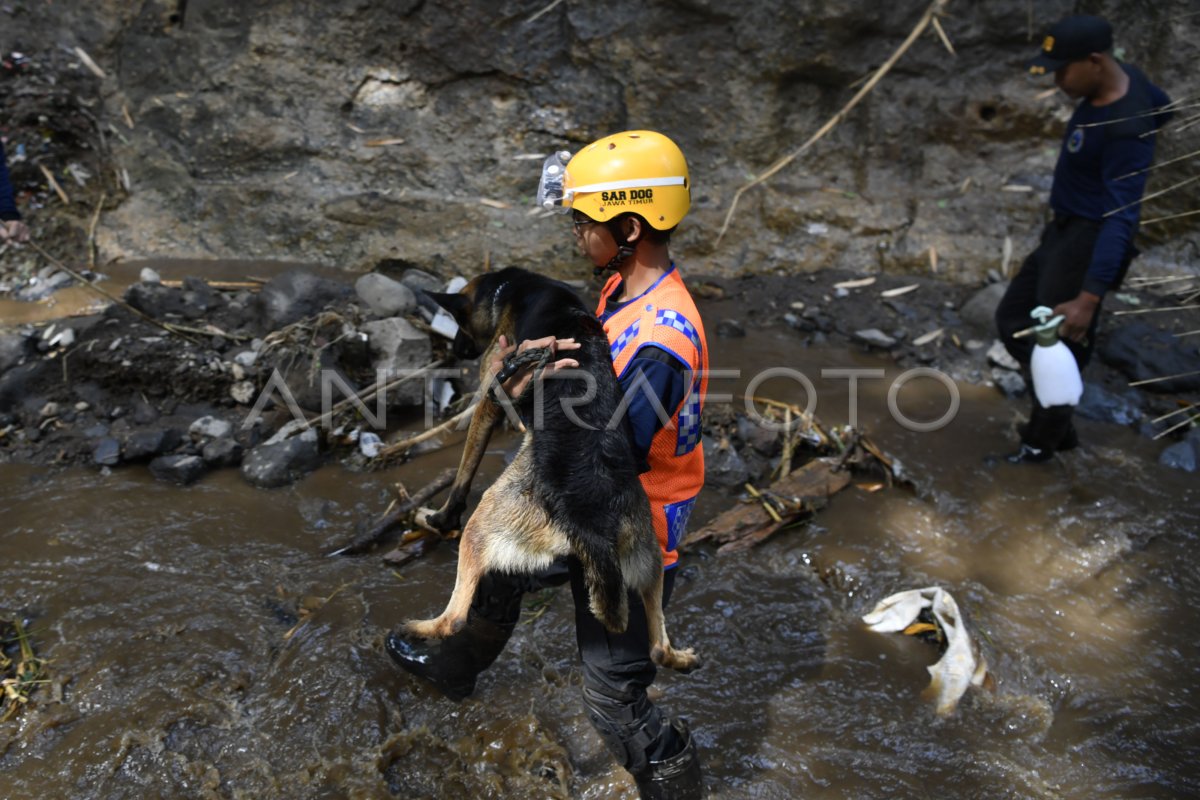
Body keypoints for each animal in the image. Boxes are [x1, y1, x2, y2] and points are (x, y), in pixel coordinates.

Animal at [408, 266, 700, 671]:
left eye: (459, 323)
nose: (457, 352)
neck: (513, 287)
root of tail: (592, 528)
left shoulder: (490, 397)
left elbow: (465, 470)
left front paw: (439, 518)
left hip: (483, 523)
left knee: (454, 619)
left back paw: (416, 629)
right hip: (649, 558)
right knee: (656, 644)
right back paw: (680, 657)